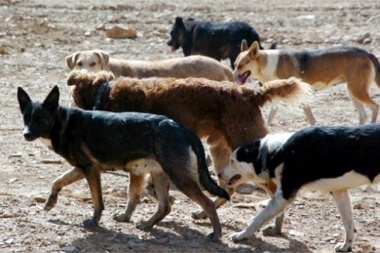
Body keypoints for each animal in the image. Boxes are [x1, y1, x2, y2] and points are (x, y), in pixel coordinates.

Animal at [17, 85, 229, 241]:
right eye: (26, 117)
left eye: (40, 118)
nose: (25, 134)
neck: (63, 122)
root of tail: (184, 130)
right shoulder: (82, 168)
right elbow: (57, 181)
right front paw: (50, 202)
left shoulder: (90, 170)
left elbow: (97, 200)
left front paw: (94, 221)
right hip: (160, 176)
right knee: (165, 206)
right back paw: (147, 224)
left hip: (180, 178)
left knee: (207, 203)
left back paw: (216, 234)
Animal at [60, 70, 312, 218]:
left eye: (72, 96)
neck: (105, 93)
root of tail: (251, 94)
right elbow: (149, 186)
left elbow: (138, 189)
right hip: (221, 150)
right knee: (228, 186)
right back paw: (205, 213)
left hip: (245, 150)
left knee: (272, 188)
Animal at [218, 125, 380, 252]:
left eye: (232, 161)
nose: (218, 174)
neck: (278, 151)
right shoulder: (339, 191)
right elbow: (348, 224)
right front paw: (346, 246)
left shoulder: (284, 195)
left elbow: (258, 218)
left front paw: (241, 235)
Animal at [233, 39, 380, 125]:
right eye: (234, 65)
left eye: (241, 66)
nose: (233, 78)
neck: (267, 66)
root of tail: (368, 53)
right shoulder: (280, 99)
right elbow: (268, 119)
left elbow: (311, 119)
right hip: (352, 92)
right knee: (363, 115)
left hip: (356, 91)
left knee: (375, 107)